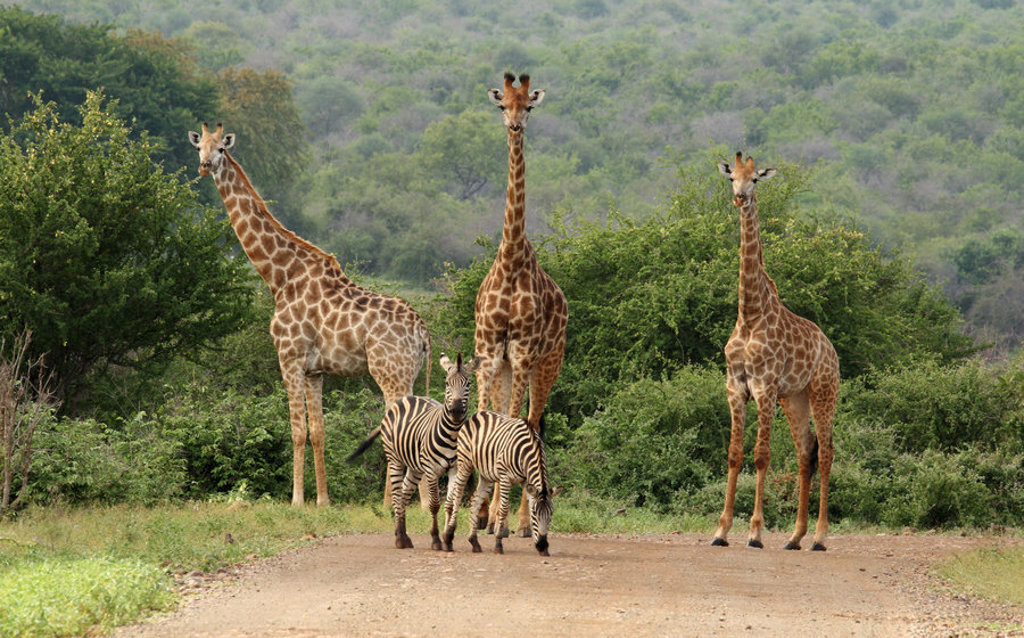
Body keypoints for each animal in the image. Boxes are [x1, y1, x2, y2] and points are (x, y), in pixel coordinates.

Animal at [348, 353, 480, 550]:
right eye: (447, 383)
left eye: (468, 383)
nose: (456, 411)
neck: (453, 434)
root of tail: (407, 398)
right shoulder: (432, 470)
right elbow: (434, 505)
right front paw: (436, 539)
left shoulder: (455, 468)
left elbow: (449, 504)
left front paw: (447, 539)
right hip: (395, 459)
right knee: (396, 496)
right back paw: (400, 540)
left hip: (415, 467)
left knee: (403, 495)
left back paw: (402, 534)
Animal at [442, 411, 560, 556]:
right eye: (535, 514)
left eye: (551, 514)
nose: (543, 545)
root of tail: (478, 414)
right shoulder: (505, 478)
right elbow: (504, 509)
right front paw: (498, 543)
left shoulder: (527, 481)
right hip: (465, 462)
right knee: (458, 493)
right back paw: (449, 535)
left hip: (486, 475)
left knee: (475, 499)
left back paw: (474, 541)